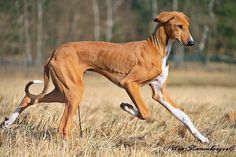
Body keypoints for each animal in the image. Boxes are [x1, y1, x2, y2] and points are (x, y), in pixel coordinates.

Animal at [1, 11, 208, 144]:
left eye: (187, 26)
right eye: (179, 26)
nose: (192, 42)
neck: (157, 48)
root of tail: (54, 52)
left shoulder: (160, 92)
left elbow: (183, 116)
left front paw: (201, 138)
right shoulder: (129, 83)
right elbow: (144, 112)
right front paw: (127, 106)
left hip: (63, 92)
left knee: (29, 98)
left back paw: (8, 122)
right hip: (74, 93)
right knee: (62, 126)